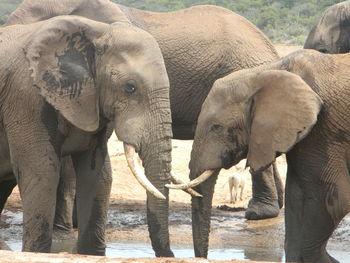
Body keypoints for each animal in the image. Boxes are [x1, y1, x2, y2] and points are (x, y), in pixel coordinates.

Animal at [0, 15, 174, 256]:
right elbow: (42, 170)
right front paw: (37, 253)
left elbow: (97, 174)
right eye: (130, 88)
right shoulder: (26, 96)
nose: (171, 254)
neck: (99, 32)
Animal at [167, 48, 350, 262]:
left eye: (216, 127)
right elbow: (296, 197)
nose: (202, 257)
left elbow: (334, 199)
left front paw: (328, 260)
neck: (263, 74)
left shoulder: (323, 130)